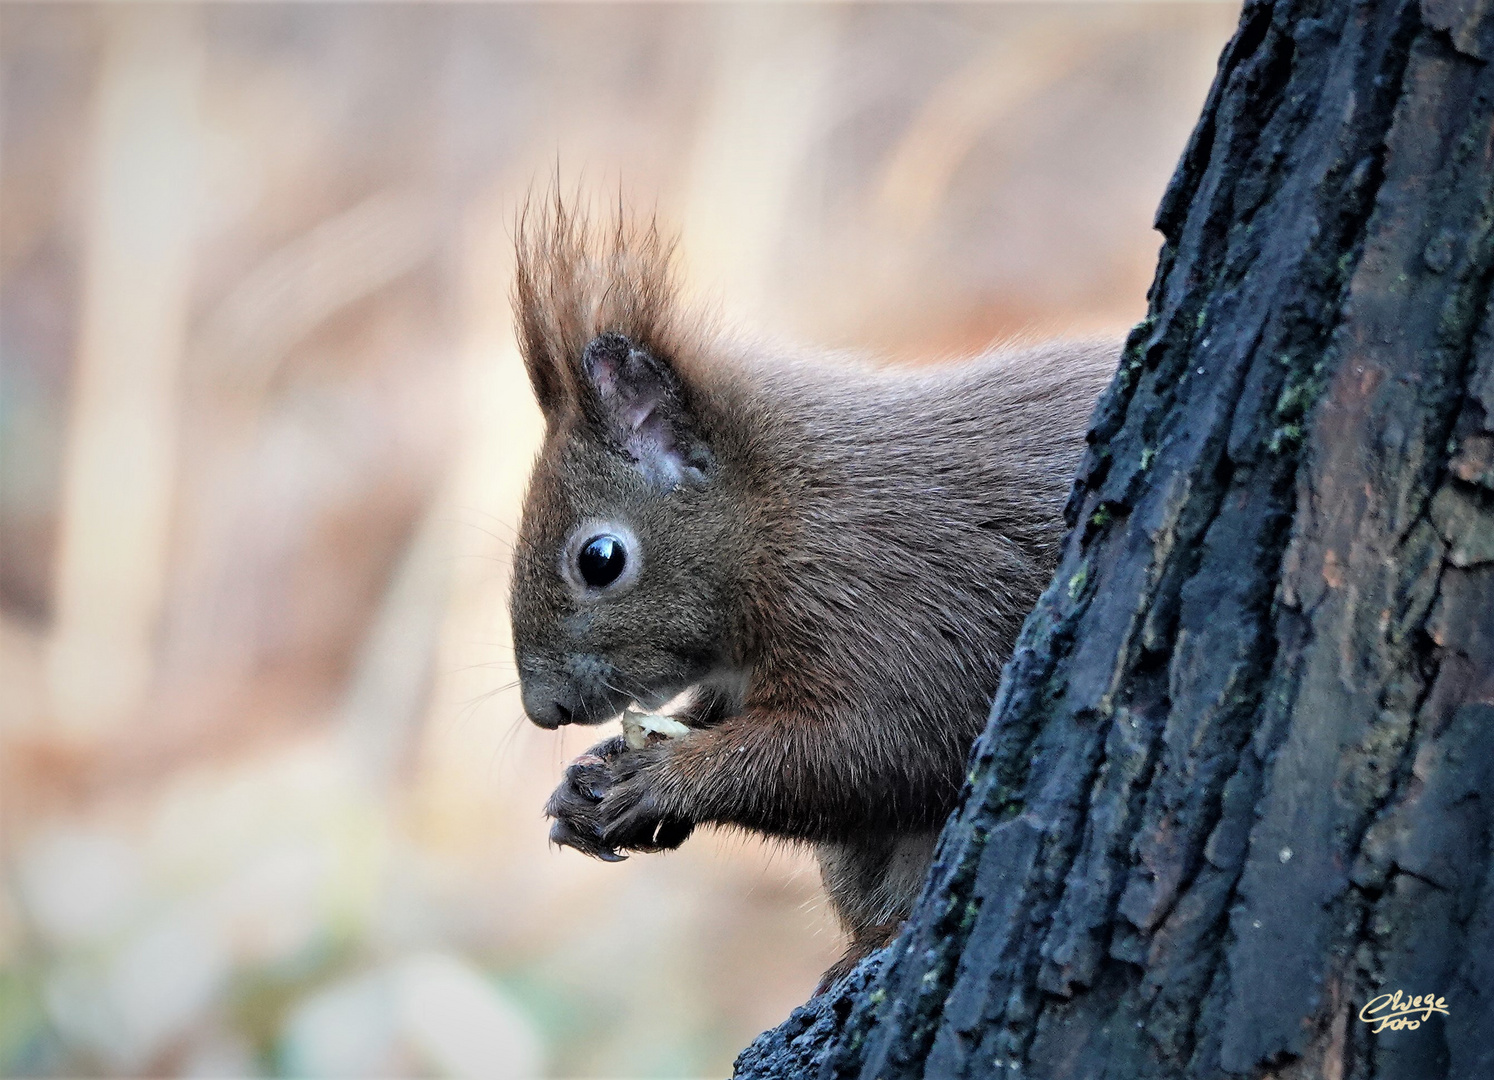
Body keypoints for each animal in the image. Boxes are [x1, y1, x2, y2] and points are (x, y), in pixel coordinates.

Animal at [507, 198, 1117, 991]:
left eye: (600, 559)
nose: (542, 710)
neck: (775, 517)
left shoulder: (886, 598)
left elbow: (873, 745)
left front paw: (664, 778)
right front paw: (584, 785)